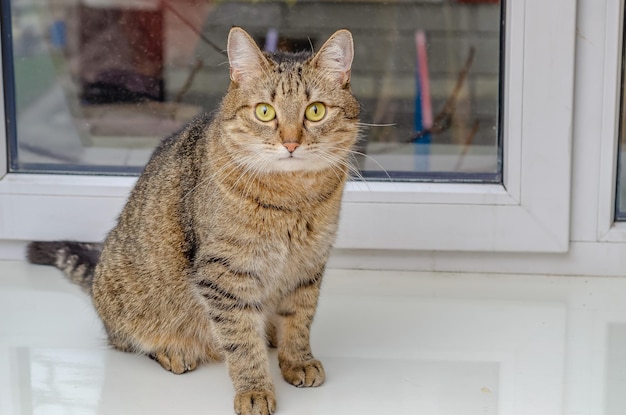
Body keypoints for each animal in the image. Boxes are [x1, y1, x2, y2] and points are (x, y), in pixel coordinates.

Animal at [28, 26, 360, 415]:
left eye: (315, 111)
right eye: (265, 112)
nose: (291, 143)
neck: (293, 197)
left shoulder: (309, 263)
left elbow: (300, 318)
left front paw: (297, 360)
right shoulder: (224, 274)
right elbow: (241, 340)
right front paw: (254, 389)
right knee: (126, 339)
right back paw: (173, 350)